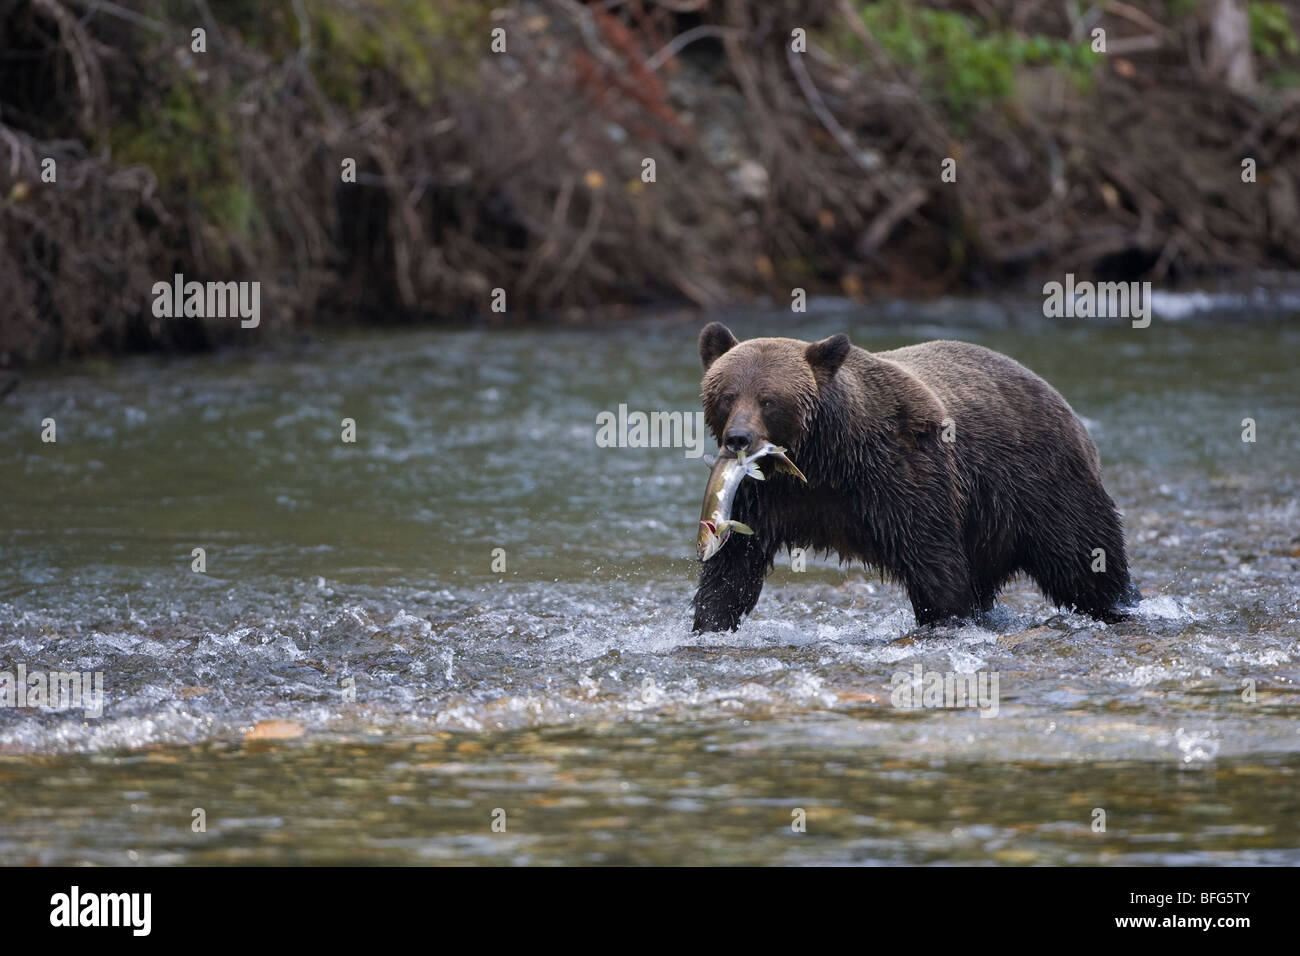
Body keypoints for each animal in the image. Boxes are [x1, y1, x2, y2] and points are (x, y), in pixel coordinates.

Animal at [691, 323, 1138, 634]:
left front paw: (944, 619)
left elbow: (934, 561)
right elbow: (733, 568)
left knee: (1086, 561)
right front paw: (709, 624)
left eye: (769, 400)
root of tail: (1065, 405)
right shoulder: (762, 496)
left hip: (1042, 487)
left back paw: (1120, 605)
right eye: (727, 395)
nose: (738, 439)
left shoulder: (902, 472)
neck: (821, 459)